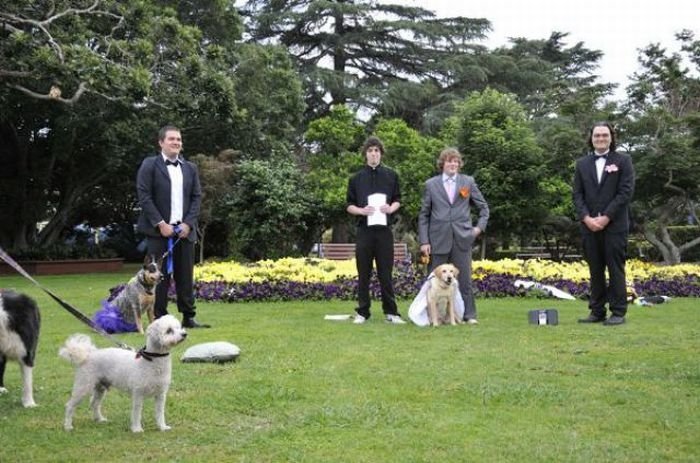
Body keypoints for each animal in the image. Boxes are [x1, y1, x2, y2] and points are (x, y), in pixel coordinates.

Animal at [59, 314, 187, 434]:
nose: (184, 334)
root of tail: (88, 355)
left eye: (178, 327)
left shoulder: (161, 394)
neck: (151, 360)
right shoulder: (138, 394)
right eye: (169, 330)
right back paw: (68, 426)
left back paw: (99, 419)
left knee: (94, 404)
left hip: (100, 387)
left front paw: (162, 427)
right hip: (83, 386)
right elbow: (136, 413)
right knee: (70, 405)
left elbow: (160, 413)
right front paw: (136, 429)